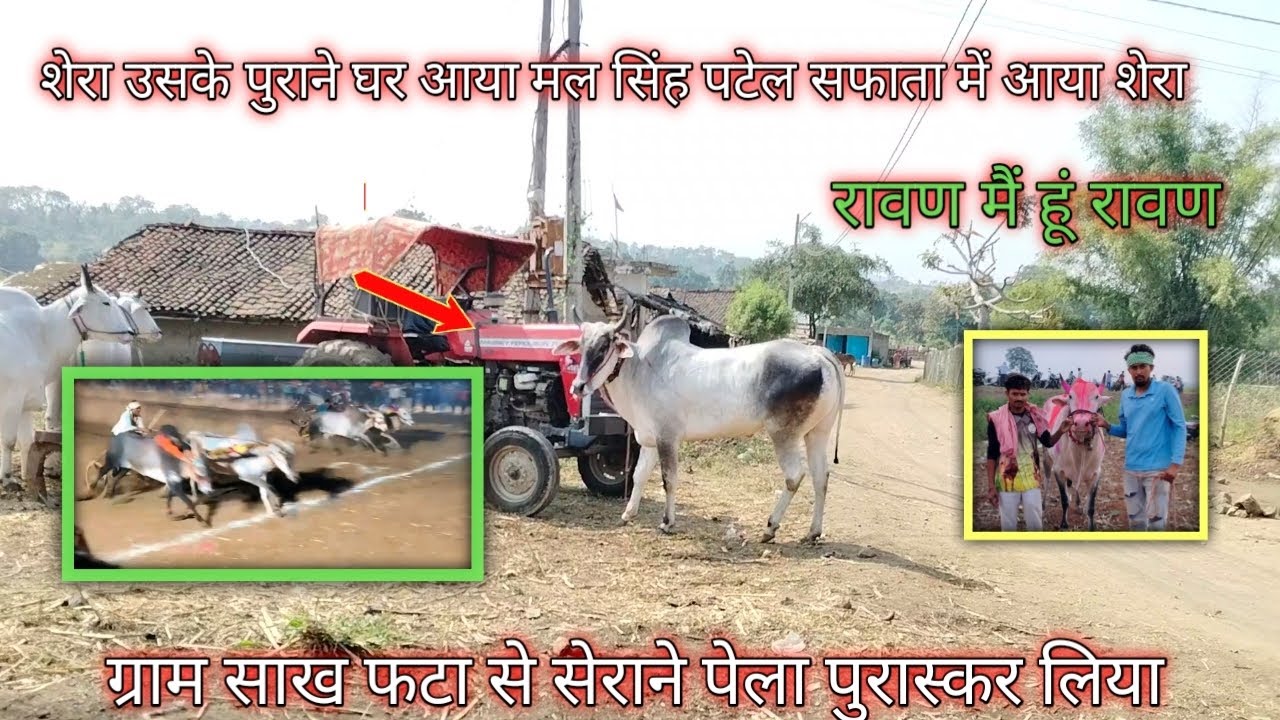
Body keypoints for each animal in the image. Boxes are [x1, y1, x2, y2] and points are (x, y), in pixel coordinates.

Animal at [0, 266, 136, 486]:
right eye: (105, 302)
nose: (130, 332)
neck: (42, 335)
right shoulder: (12, 400)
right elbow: (9, 441)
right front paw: (7, 479)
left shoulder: (27, 402)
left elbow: (27, 441)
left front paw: (28, 477)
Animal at [552, 301, 846, 544]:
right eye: (581, 346)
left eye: (604, 346)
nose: (578, 386)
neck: (639, 368)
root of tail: (817, 353)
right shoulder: (649, 439)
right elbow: (639, 475)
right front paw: (628, 513)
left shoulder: (667, 437)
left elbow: (669, 479)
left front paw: (667, 522)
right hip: (817, 433)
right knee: (821, 477)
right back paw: (812, 532)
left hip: (783, 434)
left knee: (795, 476)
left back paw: (770, 528)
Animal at [1040, 378, 1110, 531]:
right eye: (1071, 396)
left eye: (1096, 396)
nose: (1081, 423)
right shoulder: (1058, 470)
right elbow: (1064, 500)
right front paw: (1064, 524)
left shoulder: (1096, 474)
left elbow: (1091, 506)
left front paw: (1091, 526)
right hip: (1046, 457)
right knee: (1046, 480)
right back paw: (1042, 504)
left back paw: (1077, 504)